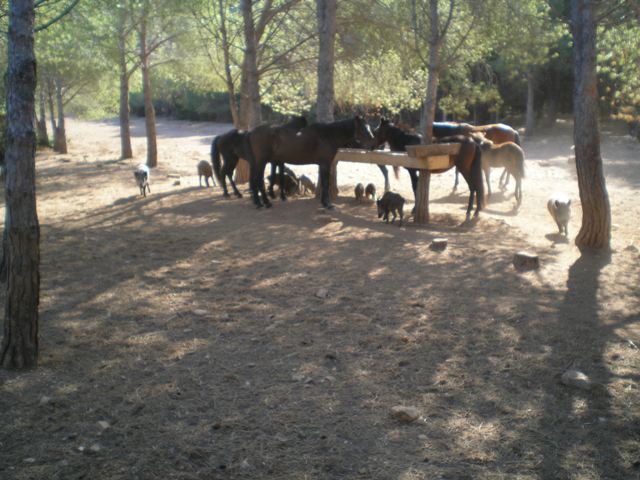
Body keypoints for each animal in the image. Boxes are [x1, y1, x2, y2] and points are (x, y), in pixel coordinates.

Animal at [245, 116, 376, 208]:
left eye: (368, 127)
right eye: (363, 129)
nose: (373, 143)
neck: (328, 135)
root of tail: (252, 132)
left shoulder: (323, 165)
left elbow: (324, 183)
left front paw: (324, 203)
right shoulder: (325, 164)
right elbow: (325, 183)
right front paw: (328, 204)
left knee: (254, 180)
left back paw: (258, 203)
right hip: (261, 162)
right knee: (258, 180)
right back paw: (266, 203)